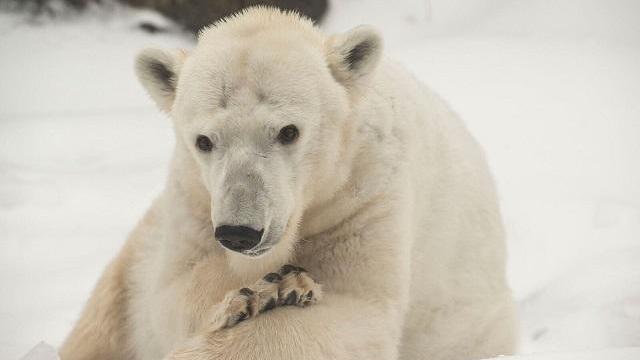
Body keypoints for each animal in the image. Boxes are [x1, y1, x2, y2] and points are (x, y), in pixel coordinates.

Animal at [60, 6, 516, 360]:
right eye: (204, 140)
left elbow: (359, 308)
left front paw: (283, 288)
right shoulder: (191, 200)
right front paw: (260, 289)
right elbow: (169, 296)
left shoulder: (364, 197)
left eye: (288, 131)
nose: (240, 232)